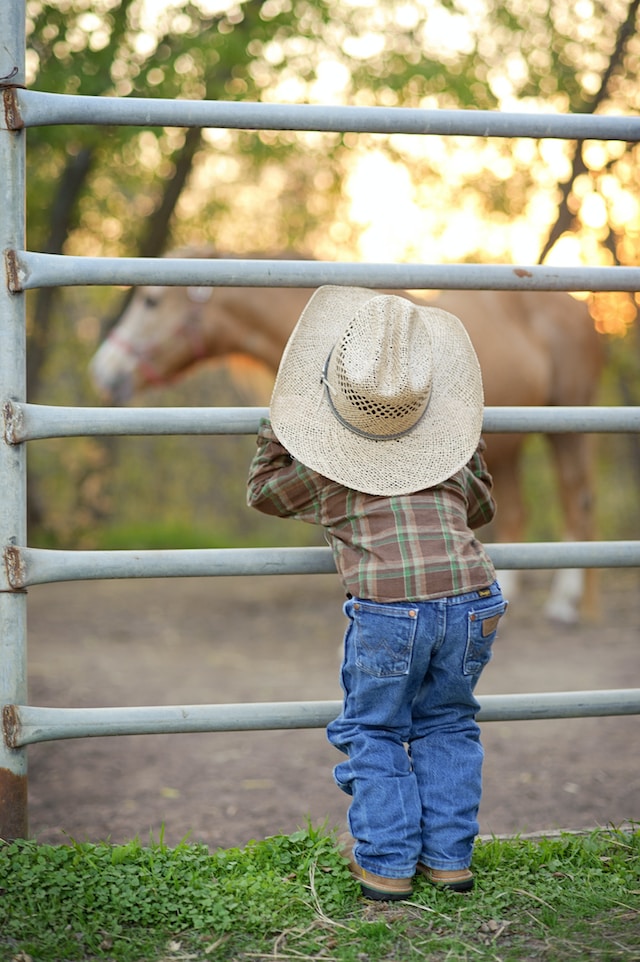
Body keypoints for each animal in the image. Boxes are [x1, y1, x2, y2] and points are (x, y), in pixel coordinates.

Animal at [90, 248, 604, 624]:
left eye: (151, 301)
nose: (104, 372)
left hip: (568, 429)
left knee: (576, 499)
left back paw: (564, 604)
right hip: (513, 446)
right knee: (516, 511)